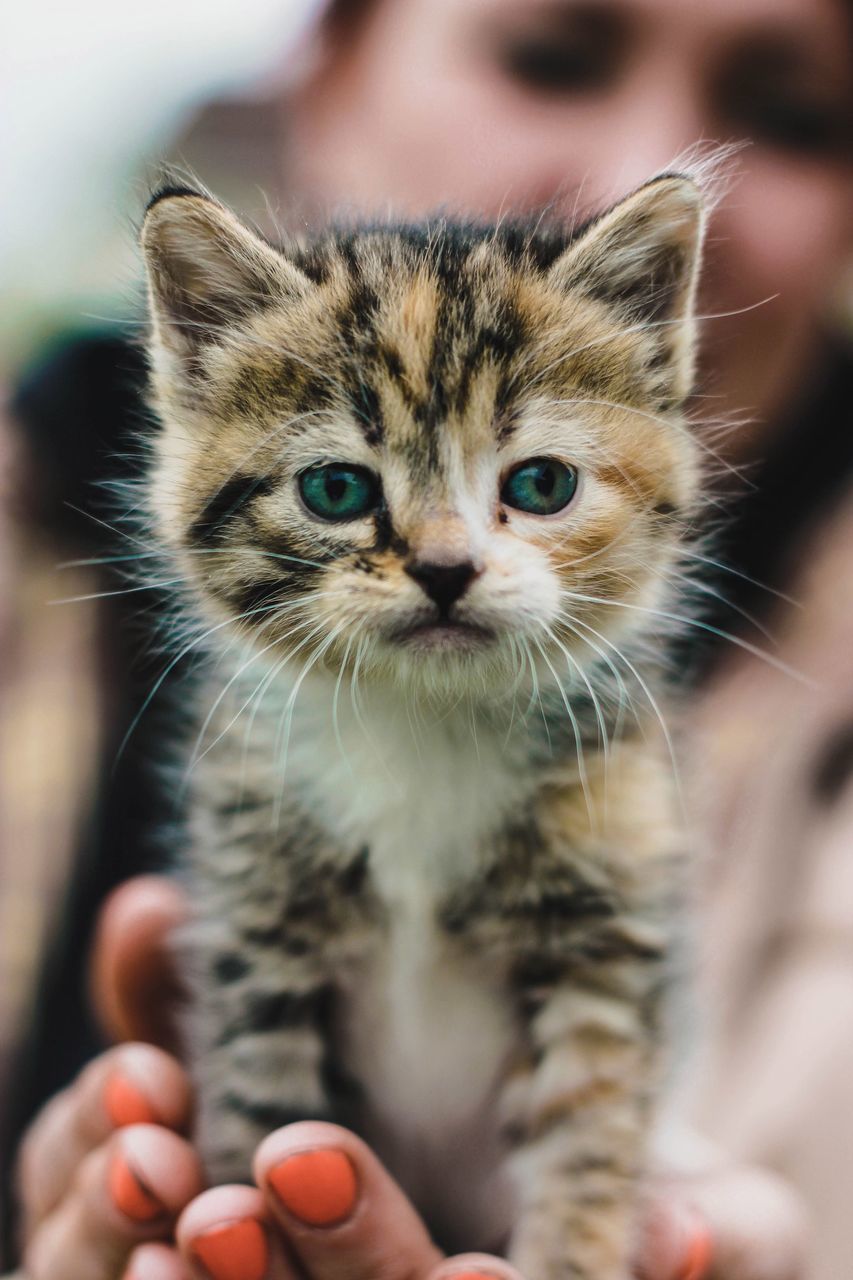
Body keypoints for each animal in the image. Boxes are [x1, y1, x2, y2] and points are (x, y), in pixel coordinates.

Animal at [140, 177, 701, 1280]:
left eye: (539, 484)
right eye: (335, 489)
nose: (445, 569)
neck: (424, 721)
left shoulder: (604, 930)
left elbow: (587, 1136)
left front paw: (573, 1250)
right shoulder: (255, 926)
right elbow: (263, 1116)